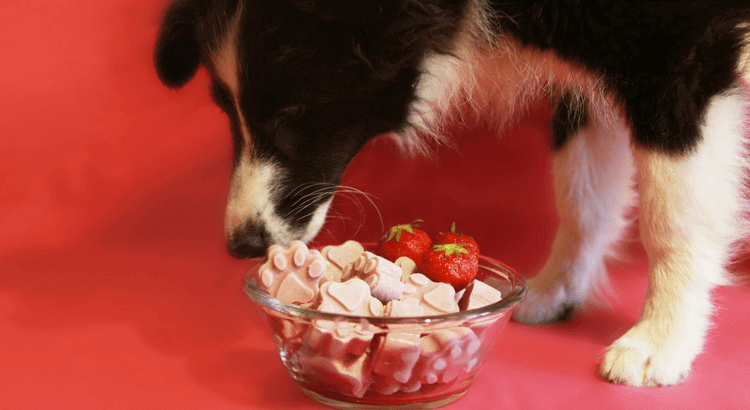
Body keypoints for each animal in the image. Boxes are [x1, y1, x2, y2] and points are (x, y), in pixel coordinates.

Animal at [153, 0, 750, 388]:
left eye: (292, 115)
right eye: (226, 110)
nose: (243, 245)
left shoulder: (682, 48)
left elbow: (671, 215)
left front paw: (661, 342)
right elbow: (584, 194)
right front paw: (557, 290)